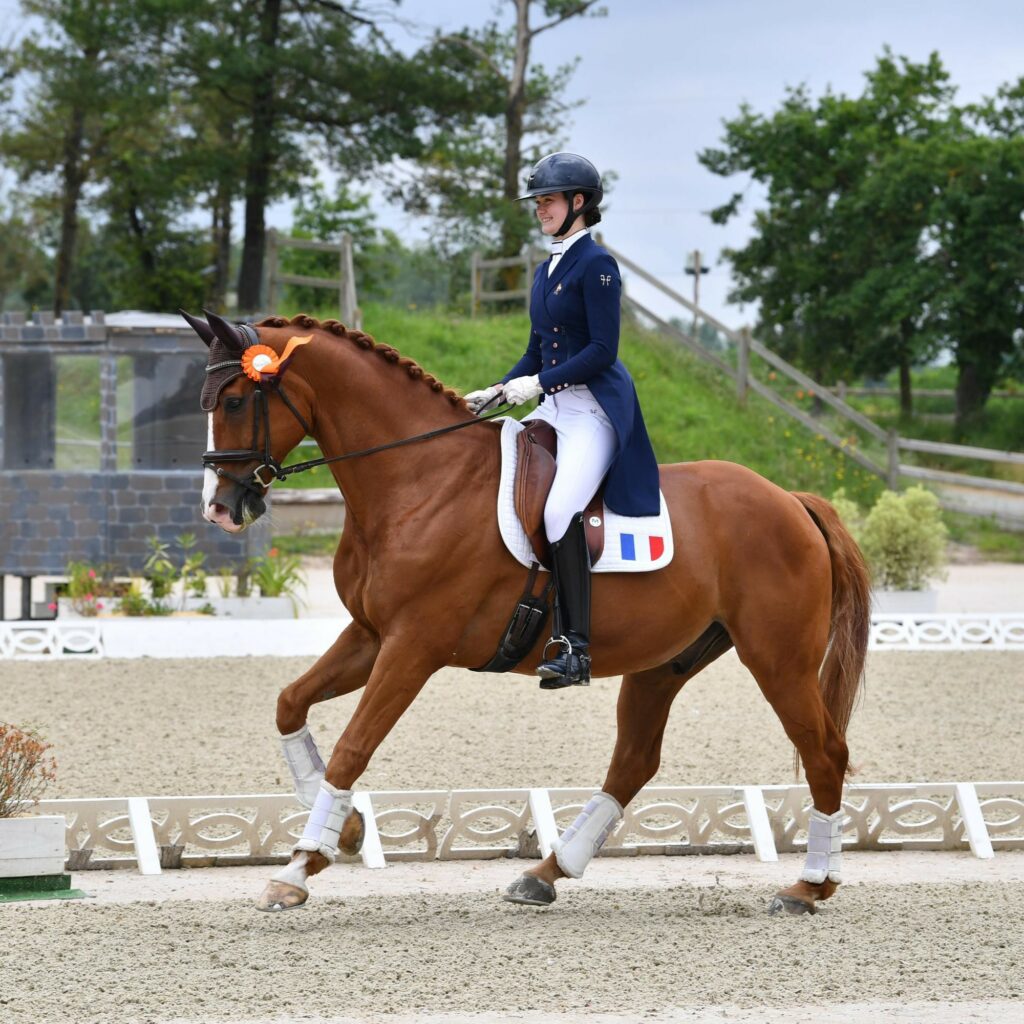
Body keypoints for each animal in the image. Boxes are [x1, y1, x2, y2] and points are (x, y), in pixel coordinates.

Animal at [188, 307, 868, 917]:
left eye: (234, 403)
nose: (219, 508)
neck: (419, 478)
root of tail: (791, 500)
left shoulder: (413, 646)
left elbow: (354, 746)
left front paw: (300, 866)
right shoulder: (371, 634)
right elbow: (290, 704)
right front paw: (348, 831)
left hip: (777, 659)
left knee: (825, 753)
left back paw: (809, 886)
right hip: (666, 663)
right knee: (634, 762)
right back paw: (545, 874)